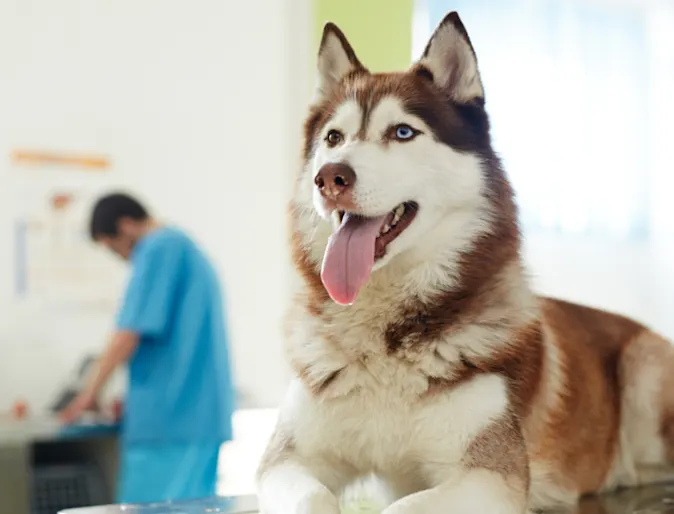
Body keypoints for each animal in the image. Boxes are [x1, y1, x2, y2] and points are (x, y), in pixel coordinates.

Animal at [255, 12, 672, 512]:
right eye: (333, 138)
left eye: (402, 132)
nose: (329, 177)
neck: (386, 340)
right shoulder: (286, 461)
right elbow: (311, 496)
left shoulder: (489, 476)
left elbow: (402, 506)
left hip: (644, 367)